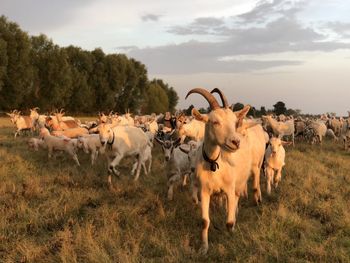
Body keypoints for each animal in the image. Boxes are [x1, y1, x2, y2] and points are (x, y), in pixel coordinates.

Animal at [186, 88, 266, 256]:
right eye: (215, 122)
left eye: (234, 122)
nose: (235, 142)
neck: (214, 163)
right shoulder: (204, 191)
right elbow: (204, 221)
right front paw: (203, 248)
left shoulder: (229, 188)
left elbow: (228, 222)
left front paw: (231, 239)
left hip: (248, 173)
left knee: (244, 193)